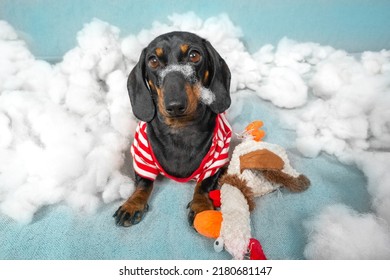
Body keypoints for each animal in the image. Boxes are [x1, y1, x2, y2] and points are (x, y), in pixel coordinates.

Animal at [113, 31, 232, 228]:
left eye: (194, 55)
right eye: (153, 60)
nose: (175, 105)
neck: (180, 129)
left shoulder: (217, 160)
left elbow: (204, 184)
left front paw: (201, 206)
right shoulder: (142, 158)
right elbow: (143, 184)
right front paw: (132, 204)